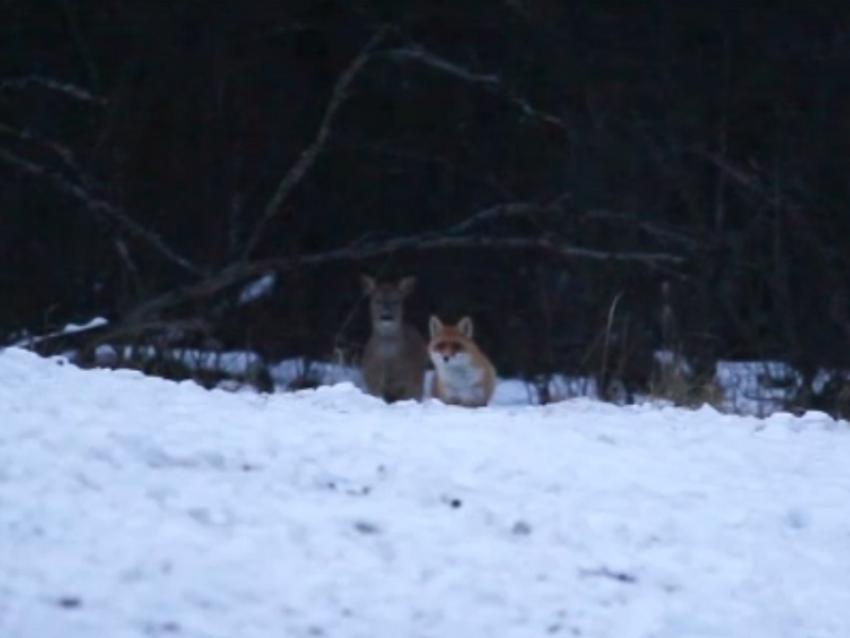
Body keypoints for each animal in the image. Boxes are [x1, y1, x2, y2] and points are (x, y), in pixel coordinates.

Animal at [358, 276, 428, 404]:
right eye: (377, 300)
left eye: (396, 301)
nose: (386, 316)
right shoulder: (373, 381)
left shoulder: (410, 382)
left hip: (419, 378)